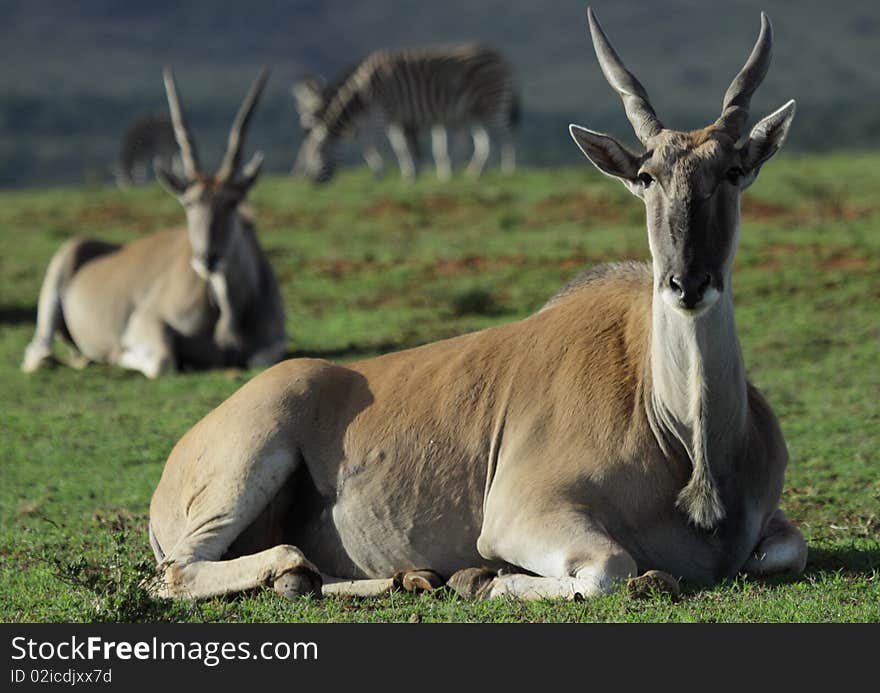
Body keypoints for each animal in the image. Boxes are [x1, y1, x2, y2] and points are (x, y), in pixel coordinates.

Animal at [292, 44, 520, 182]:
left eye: (316, 153)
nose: (311, 182)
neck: (362, 91)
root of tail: (501, 56)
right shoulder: (401, 119)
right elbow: (409, 149)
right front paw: (414, 176)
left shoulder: (384, 114)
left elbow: (376, 145)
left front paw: (381, 173)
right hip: (476, 111)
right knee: (484, 140)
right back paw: (475, 172)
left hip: (492, 103)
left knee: (506, 135)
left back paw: (508, 169)